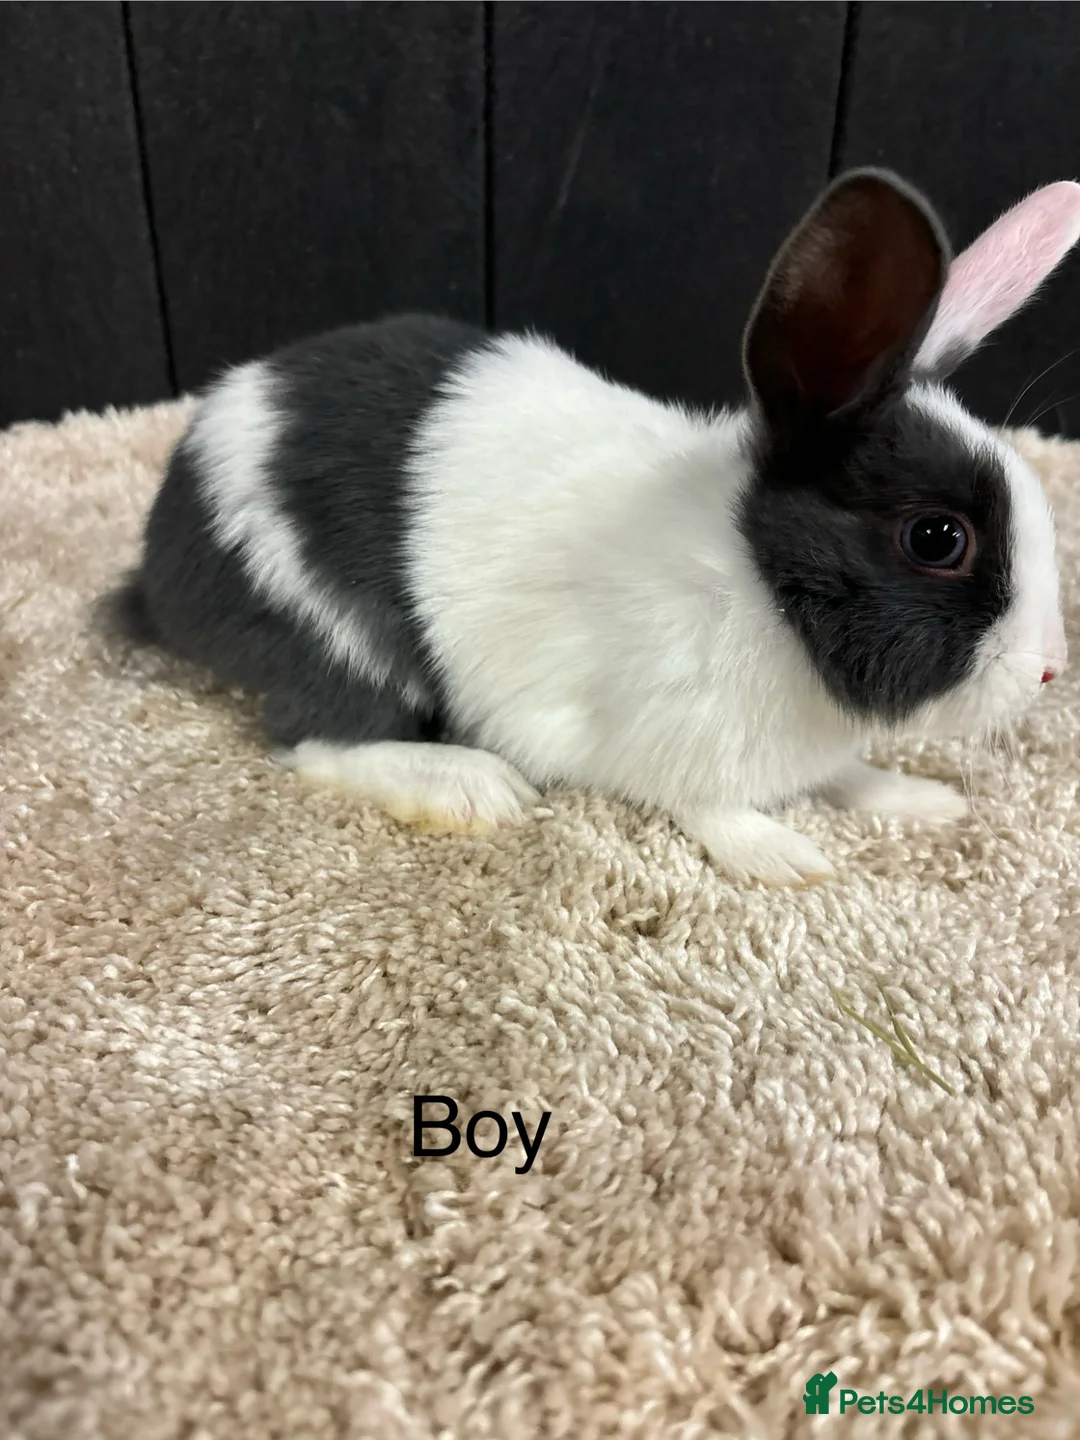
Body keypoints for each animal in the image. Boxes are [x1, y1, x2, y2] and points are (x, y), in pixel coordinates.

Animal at [107, 169, 1080, 885]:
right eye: (936, 538)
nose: (1046, 671)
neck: (752, 580)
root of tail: (159, 568)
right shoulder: (670, 747)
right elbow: (715, 812)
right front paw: (791, 859)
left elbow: (852, 775)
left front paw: (921, 801)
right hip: (333, 636)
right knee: (308, 740)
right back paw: (471, 788)